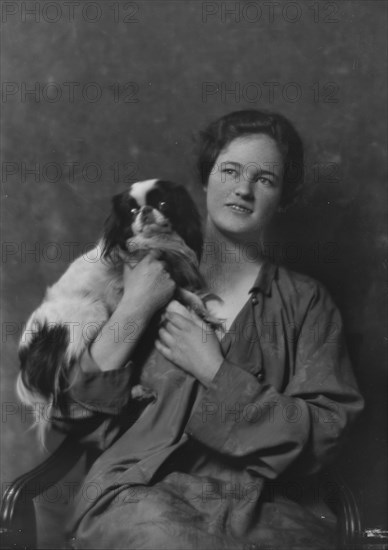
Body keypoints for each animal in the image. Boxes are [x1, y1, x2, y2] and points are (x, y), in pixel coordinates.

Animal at [17, 179, 218, 416]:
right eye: (131, 212)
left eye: (163, 203)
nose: (145, 210)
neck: (155, 242)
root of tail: (27, 352)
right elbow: (171, 297)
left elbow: (181, 291)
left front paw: (198, 307)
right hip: (93, 312)